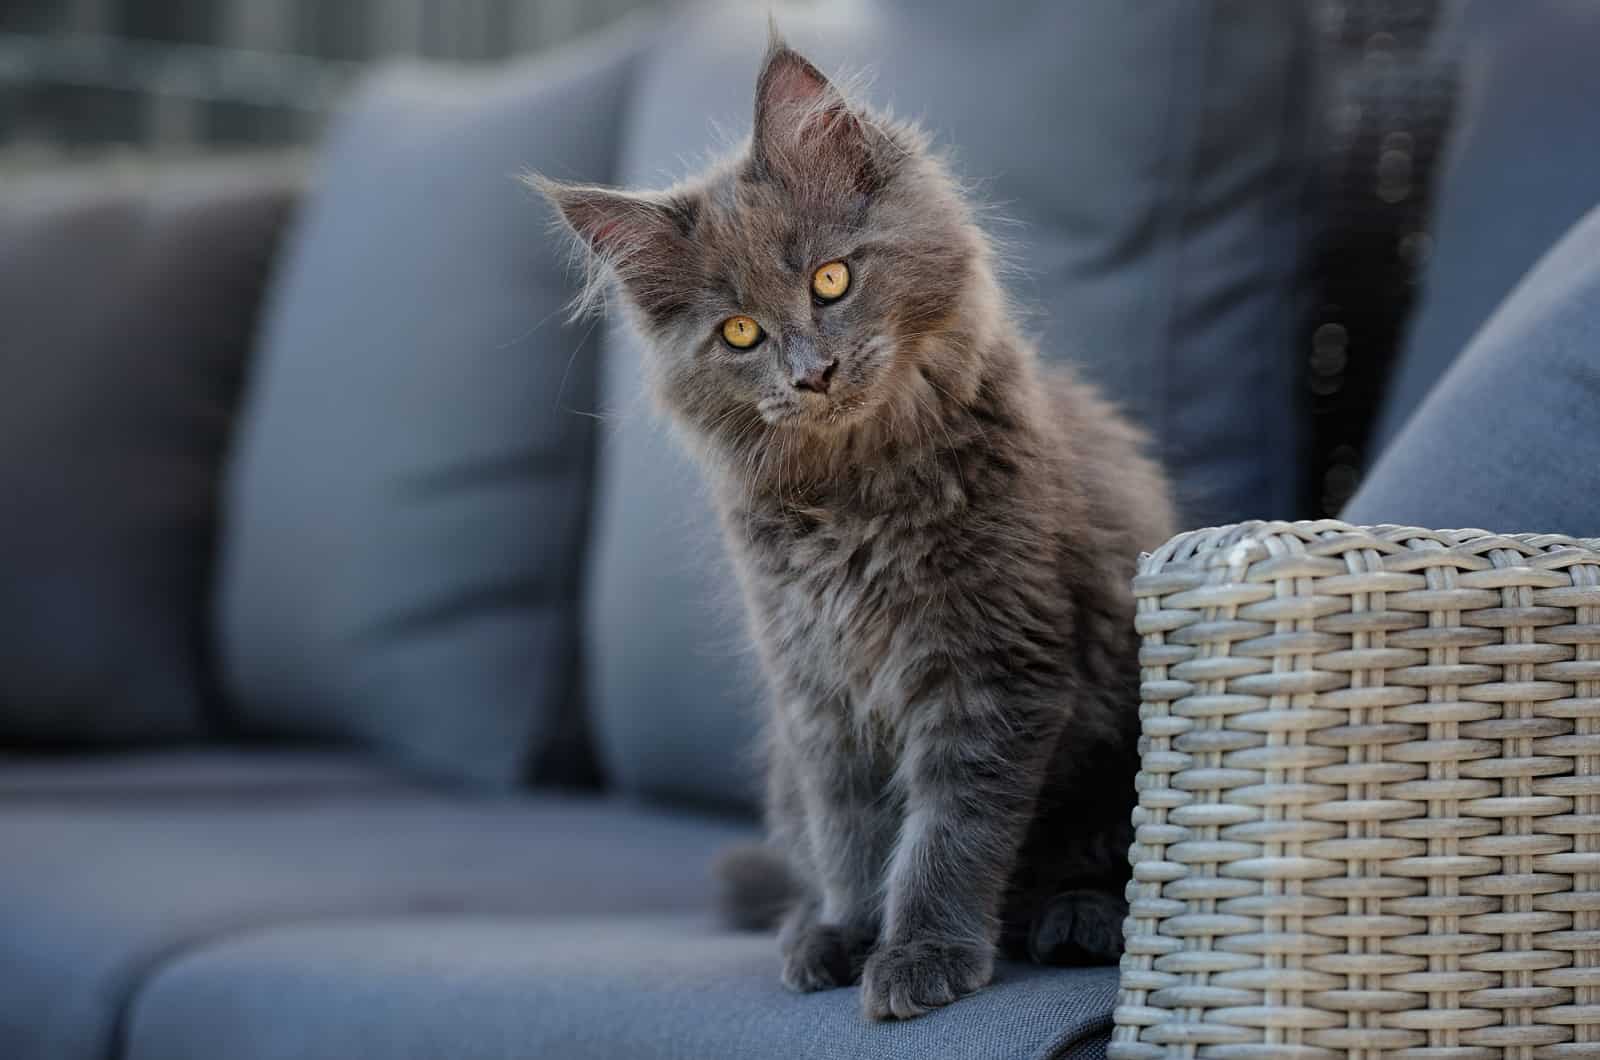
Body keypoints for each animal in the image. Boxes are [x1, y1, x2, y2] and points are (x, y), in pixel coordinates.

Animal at [537, 37, 1177, 1024]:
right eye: (739, 333)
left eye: (830, 279)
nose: (813, 373)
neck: (855, 496)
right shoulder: (818, 695)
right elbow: (854, 837)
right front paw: (847, 933)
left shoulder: (993, 671)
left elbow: (946, 836)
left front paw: (920, 954)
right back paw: (809, 922)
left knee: (1098, 860)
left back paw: (1076, 919)